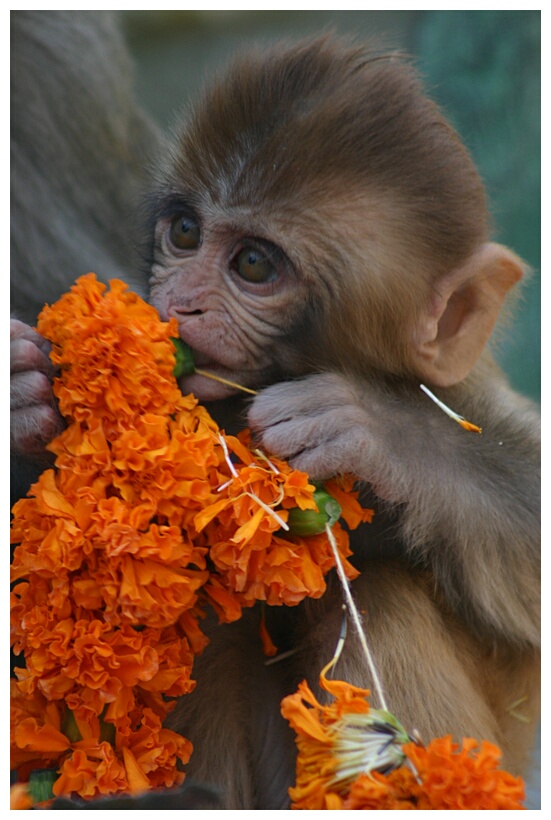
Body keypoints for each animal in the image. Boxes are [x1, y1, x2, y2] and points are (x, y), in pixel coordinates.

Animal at [10, 22, 540, 816]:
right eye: (186, 232)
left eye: (254, 265)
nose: (182, 302)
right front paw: (22, 392)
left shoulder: (462, 387)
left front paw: (378, 432)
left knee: (378, 597)